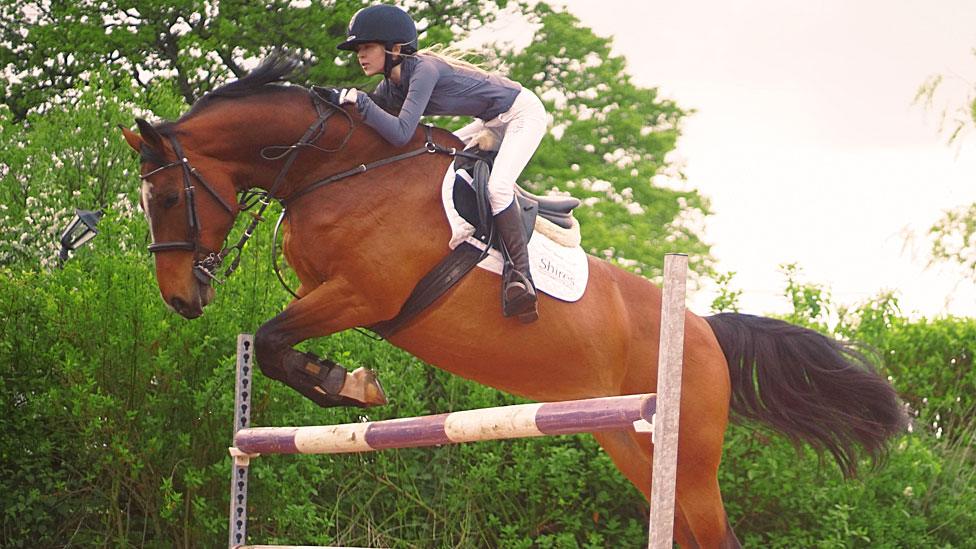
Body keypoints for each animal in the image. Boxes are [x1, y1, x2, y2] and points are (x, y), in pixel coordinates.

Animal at [122, 57, 908, 544]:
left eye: (166, 198)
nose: (180, 298)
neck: (342, 168)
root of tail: (705, 329)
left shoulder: (360, 294)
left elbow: (273, 340)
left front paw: (350, 383)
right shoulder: (329, 292)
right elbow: (274, 345)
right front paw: (348, 383)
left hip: (686, 453)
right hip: (629, 440)